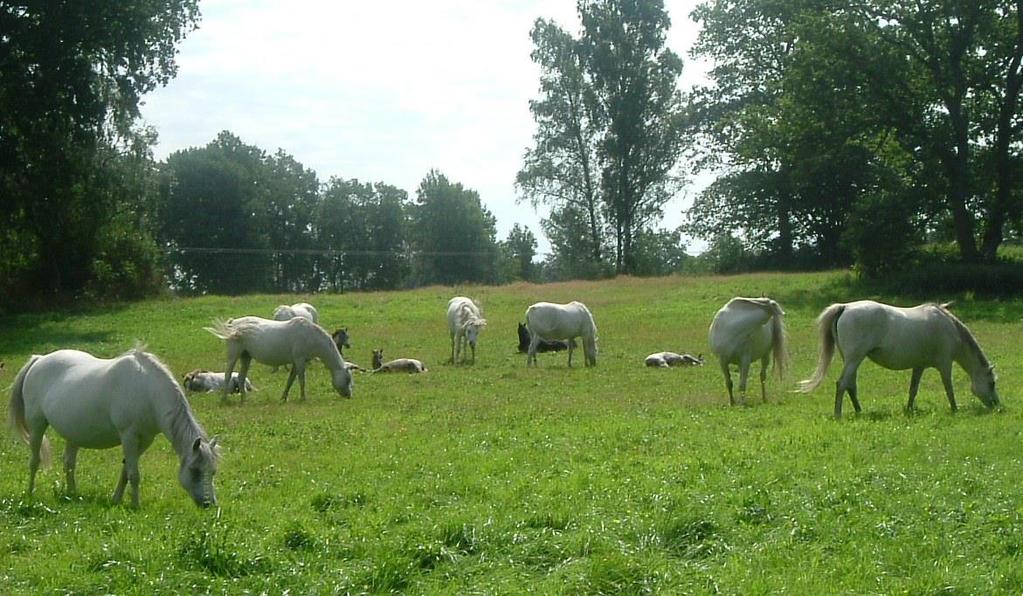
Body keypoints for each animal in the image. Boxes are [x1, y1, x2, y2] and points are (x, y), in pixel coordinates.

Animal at [7, 349, 219, 509]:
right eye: (194, 471)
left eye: (213, 472)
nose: (209, 504)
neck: (148, 391)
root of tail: (39, 359)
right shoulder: (129, 436)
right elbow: (134, 474)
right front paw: (135, 505)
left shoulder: (144, 440)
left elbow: (126, 471)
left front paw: (116, 500)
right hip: (37, 425)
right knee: (35, 461)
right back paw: (30, 493)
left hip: (73, 434)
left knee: (69, 463)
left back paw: (72, 494)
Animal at [205, 316, 353, 400]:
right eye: (347, 379)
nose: (349, 396)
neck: (311, 336)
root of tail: (233, 324)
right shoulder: (300, 361)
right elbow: (302, 380)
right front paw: (303, 398)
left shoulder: (296, 362)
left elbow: (290, 380)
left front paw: (284, 397)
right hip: (233, 355)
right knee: (228, 374)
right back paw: (224, 399)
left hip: (246, 357)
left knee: (241, 378)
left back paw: (243, 399)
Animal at [797, 300, 998, 417]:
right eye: (992, 383)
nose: (997, 405)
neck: (949, 327)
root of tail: (845, 307)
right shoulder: (945, 364)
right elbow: (949, 388)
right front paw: (955, 409)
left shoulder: (919, 366)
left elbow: (913, 389)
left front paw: (909, 410)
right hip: (854, 359)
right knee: (842, 384)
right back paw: (838, 414)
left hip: (851, 360)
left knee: (850, 385)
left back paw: (859, 411)